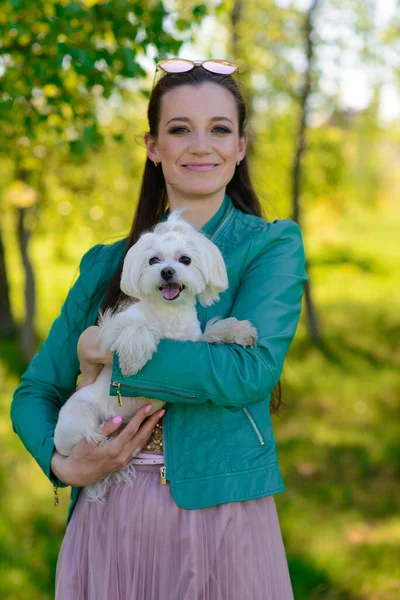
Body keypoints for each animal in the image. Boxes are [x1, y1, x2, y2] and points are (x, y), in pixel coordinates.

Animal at [54, 211, 258, 502]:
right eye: (153, 260)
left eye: (185, 259)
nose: (167, 271)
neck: (169, 313)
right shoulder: (110, 330)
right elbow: (138, 329)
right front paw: (132, 361)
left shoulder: (194, 343)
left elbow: (215, 330)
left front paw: (240, 331)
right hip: (80, 419)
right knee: (89, 437)